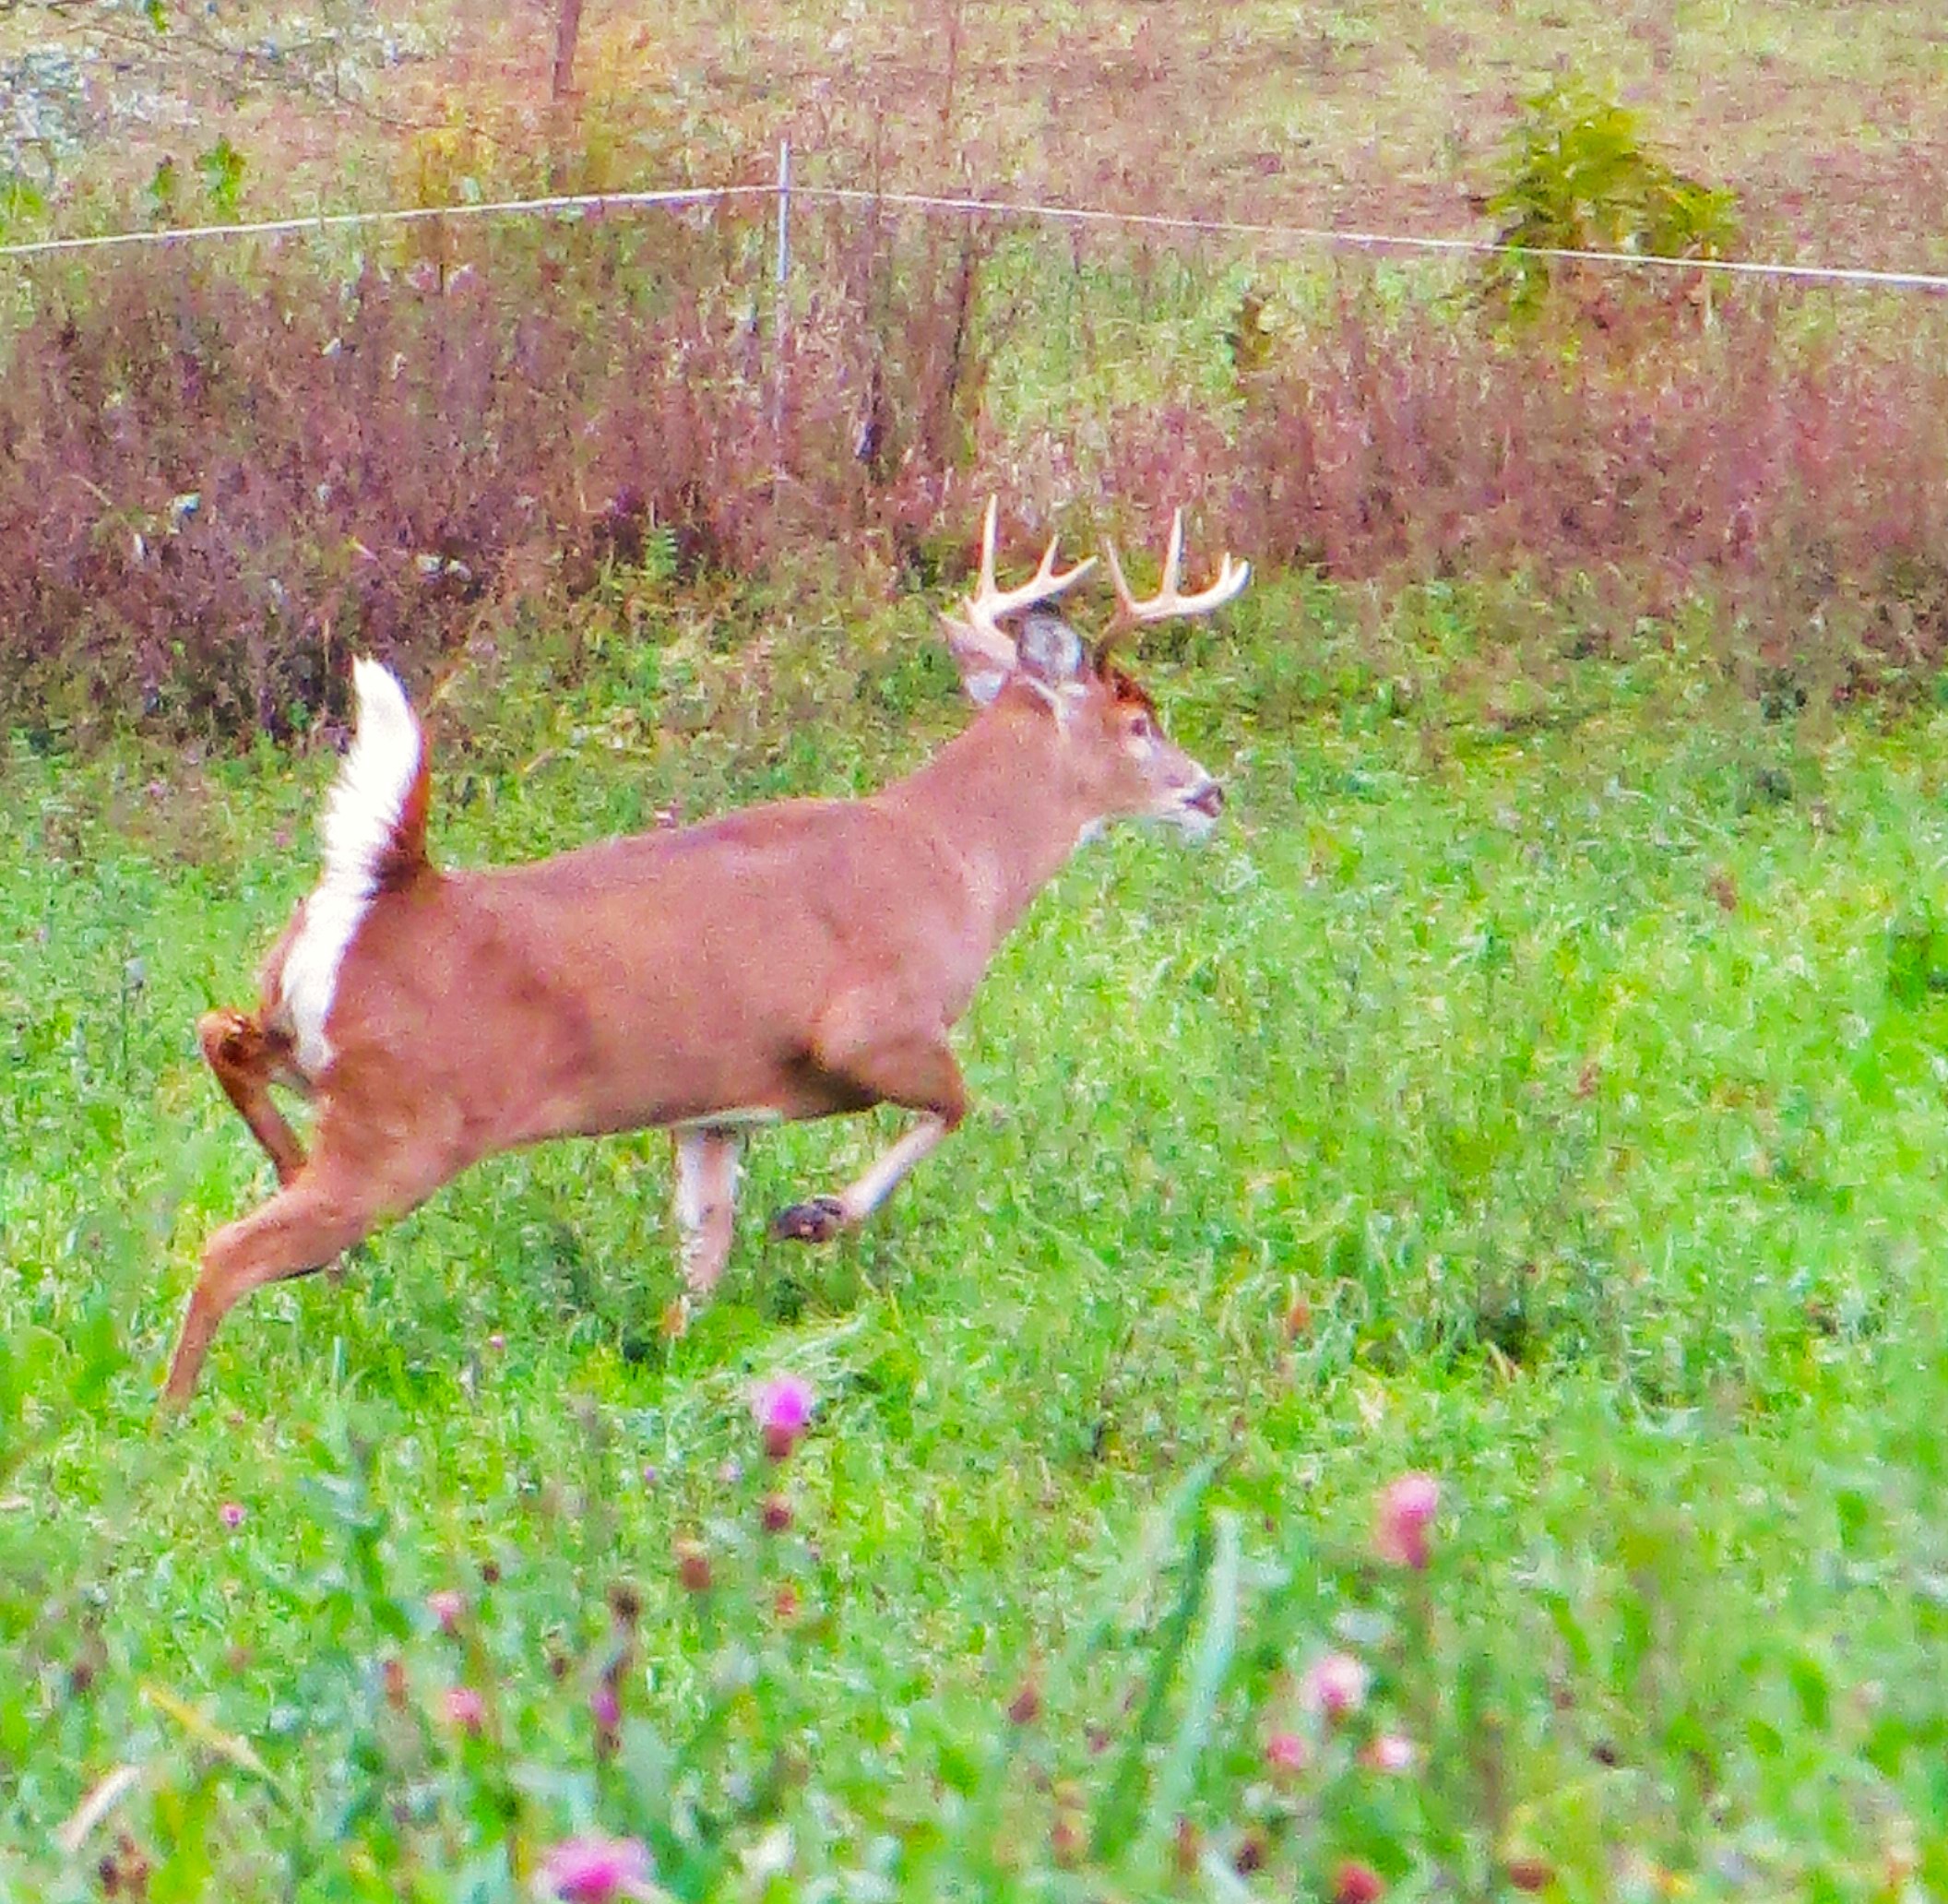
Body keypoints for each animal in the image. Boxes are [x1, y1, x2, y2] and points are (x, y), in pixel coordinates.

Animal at [161, 501, 1249, 1404]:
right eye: (1141, 722)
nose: (1210, 793)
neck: (952, 864)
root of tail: (388, 885)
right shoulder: (870, 1026)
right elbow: (956, 1103)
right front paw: (816, 1215)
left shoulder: (712, 1113)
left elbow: (700, 1259)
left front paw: (688, 1345)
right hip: (405, 1125)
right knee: (225, 1251)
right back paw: (179, 1418)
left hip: (310, 1045)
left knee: (221, 1034)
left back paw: (287, 1177)